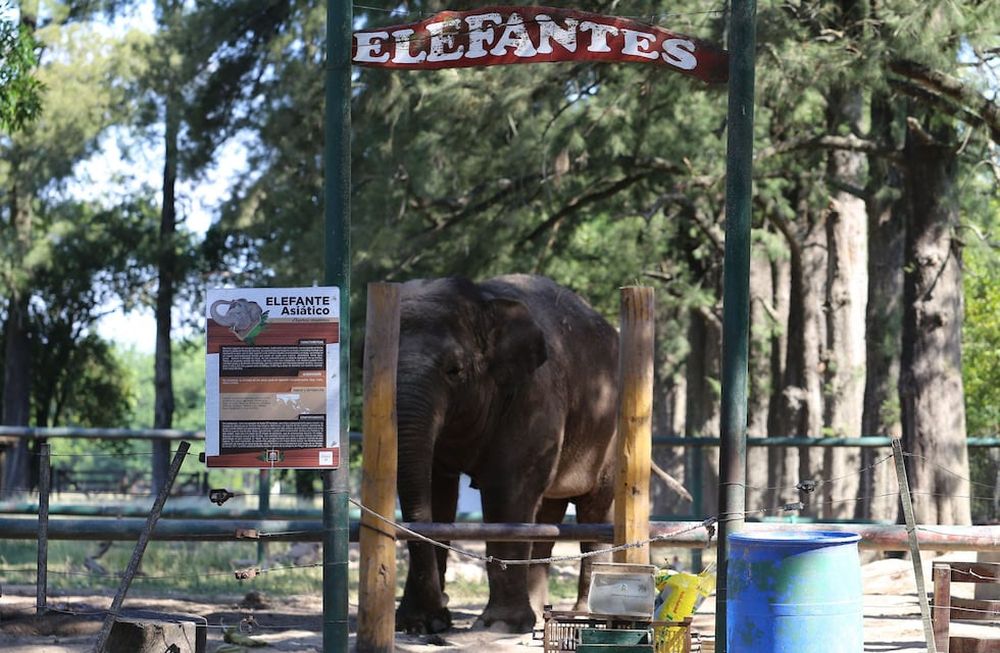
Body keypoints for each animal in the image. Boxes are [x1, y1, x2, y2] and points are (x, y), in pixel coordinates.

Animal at [394, 274, 620, 634]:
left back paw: (586, 614)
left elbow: (507, 491)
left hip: (610, 430)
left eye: (454, 370)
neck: (484, 301)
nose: (443, 609)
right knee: (547, 515)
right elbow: (433, 490)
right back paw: (541, 612)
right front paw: (418, 623)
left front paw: (499, 625)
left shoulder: (532, 397)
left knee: (594, 510)